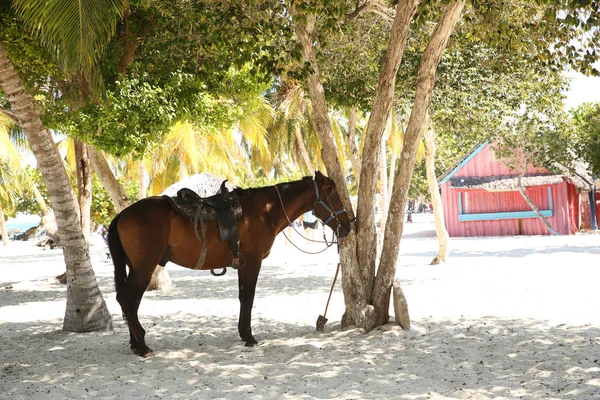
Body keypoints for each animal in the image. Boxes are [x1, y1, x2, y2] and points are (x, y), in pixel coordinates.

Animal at [108, 170, 352, 358]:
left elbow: (243, 298)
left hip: (137, 268)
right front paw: (250, 337)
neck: (264, 211)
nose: (349, 225)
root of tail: (123, 214)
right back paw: (142, 345)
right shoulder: (253, 263)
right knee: (128, 299)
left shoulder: (242, 265)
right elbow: (249, 298)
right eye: (335, 196)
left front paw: (243, 334)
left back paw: (136, 343)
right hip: (144, 267)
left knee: (130, 302)